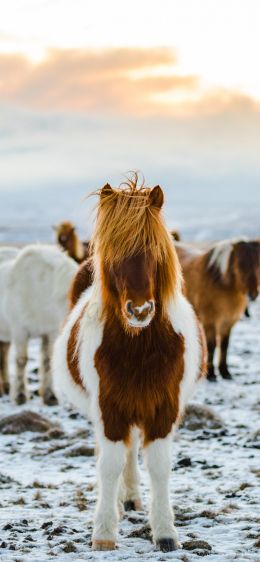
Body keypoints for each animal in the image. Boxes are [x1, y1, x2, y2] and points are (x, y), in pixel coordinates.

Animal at [0, 243, 77, 400]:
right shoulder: (19, 331)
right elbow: (21, 361)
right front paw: (20, 396)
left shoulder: (50, 331)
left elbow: (47, 360)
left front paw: (49, 396)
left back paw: (6, 387)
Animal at [53, 176, 207, 552]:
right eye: (113, 254)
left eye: (155, 251)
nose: (139, 311)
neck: (139, 348)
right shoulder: (109, 408)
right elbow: (108, 465)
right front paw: (104, 532)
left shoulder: (163, 408)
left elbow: (159, 466)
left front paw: (165, 532)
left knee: (131, 449)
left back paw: (131, 499)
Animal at [175, 236, 260, 380]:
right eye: (240, 264)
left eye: (258, 264)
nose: (253, 294)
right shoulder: (210, 321)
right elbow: (212, 345)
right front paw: (211, 374)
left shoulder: (228, 322)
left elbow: (224, 345)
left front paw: (225, 372)